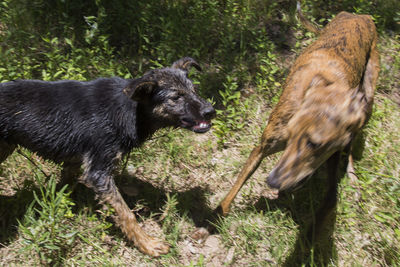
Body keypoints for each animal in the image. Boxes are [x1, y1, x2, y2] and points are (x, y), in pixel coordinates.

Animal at [0, 57, 216, 256]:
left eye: (194, 90)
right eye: (176, 97)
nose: (211, 111)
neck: (131, 109)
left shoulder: (76, 163)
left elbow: (64, 187)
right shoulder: (99, 172)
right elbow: (126, 214)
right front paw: (146, 243)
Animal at [216, 5, 378, 233]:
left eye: (315, 143)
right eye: (290, 135)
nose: (272, 181)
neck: (327, 86)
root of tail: (358, 15)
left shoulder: (331, 153)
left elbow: (330, 199)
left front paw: (311, 235)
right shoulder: (263, 147)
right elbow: (233, 190)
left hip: (368, 99)